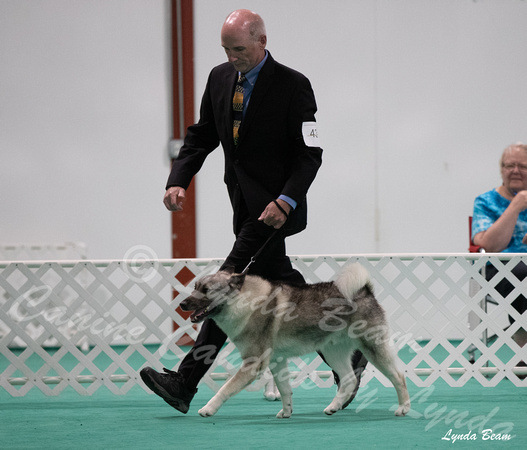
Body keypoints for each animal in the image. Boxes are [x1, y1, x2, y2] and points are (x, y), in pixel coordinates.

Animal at [182, 264, 412, 418]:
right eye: (195, 286)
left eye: (206, 290)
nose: (183, 303)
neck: (244, 301)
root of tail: (365, 291)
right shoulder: (277, 361)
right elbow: (284, 389)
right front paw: (286, 412)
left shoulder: (253, 363)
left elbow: (226, 388)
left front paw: (208, 408)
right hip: (333, 352)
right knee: (348, 380)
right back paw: (333, 407)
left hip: (373, 348)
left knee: (398, 376)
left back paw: (403, 408)